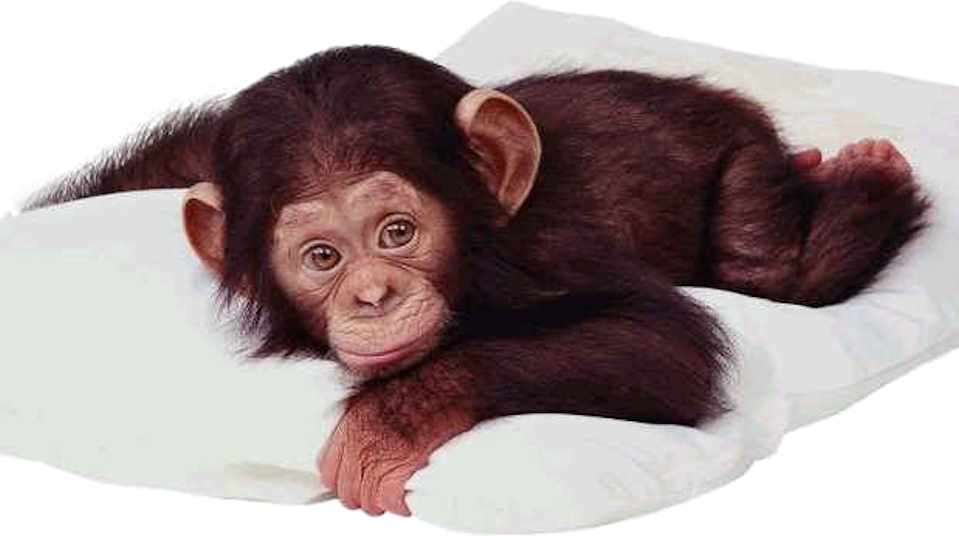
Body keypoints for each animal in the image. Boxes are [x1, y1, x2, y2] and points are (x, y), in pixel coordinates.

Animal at [33, 45, 930, 518]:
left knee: (767, 269)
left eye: (397, 233)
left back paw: (864, 173)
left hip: (739, 150)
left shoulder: (544, 253)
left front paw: (392, 421)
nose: (373, 297)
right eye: (322, 257)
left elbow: (659, 341)